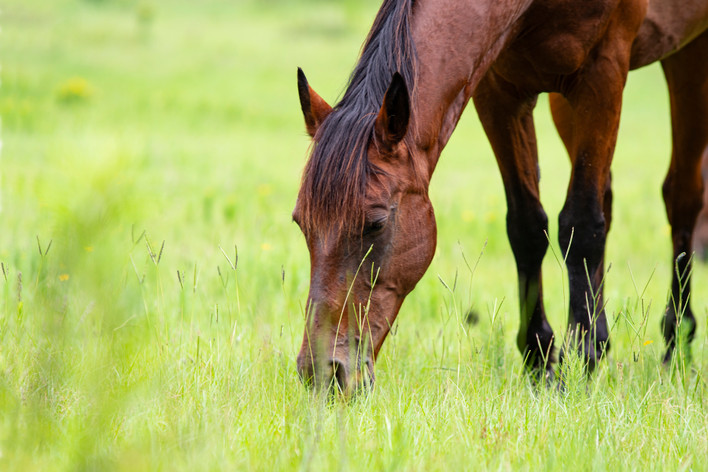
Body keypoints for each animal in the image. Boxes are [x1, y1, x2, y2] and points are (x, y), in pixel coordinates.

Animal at [293, 0, 708, 393]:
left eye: (376, 223)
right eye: (301, 223)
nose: (321, 372)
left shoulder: (602, 73)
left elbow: (582, 224)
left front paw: (582, 359)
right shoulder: (499, 90)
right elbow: (527, 226)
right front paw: (541, 360)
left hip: (687, 56)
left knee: (681, 196)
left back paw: (676, 342)